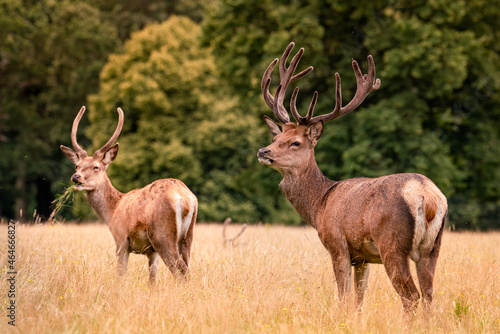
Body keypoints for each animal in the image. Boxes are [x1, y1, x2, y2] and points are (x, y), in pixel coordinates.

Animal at [60, 105, 197, 284]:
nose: (76, 177)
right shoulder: (152, 252)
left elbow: (120, 274)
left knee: (180, 269)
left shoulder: (121, 239)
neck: (112, 211)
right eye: (77, 166)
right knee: (186, 266)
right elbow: (152, 280)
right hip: (188, 236)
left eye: (96, 167)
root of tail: (186, 198)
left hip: (162, 234)